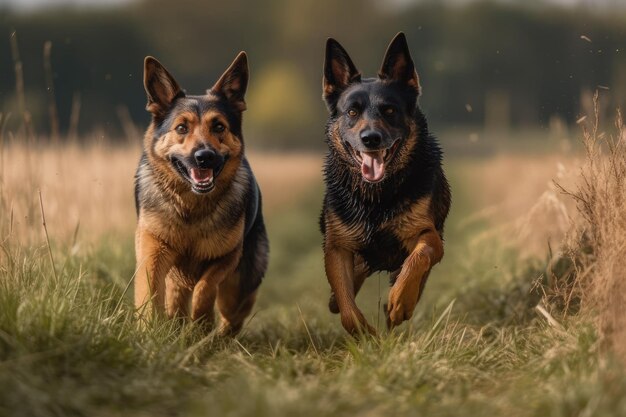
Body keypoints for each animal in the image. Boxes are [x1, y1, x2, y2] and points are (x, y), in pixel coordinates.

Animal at [134, 52, 266, 336]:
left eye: (218, 127)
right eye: (181, 128)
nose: (204, 157)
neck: (190, 207)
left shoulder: (226, 257)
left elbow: (205, 288)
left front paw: (202, 322)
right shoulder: (153, 250)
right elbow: (150, 291)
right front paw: (148, 329)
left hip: (238, 288)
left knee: (232, 315)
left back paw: (216, 337)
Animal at [322, 31, 448, 334]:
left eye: (390, 110)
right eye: (352, 112)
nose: (371, 139)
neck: (376, 197)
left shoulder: (428, 234)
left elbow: (418, 258)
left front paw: (400, 301)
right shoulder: (337, 247)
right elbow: (347, 308)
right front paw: (365, 334)